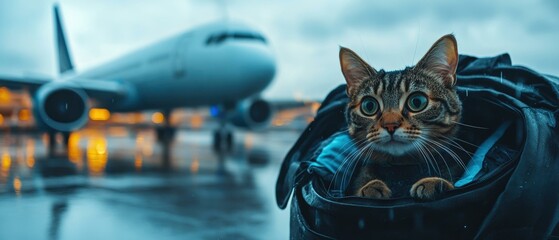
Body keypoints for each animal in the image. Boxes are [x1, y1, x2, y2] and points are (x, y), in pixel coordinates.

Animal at [342, 33, 464, 199]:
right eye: (369, 106)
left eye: (417, 102)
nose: (390, 125)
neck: (402, 169)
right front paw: (370, 188)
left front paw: (434, 182)